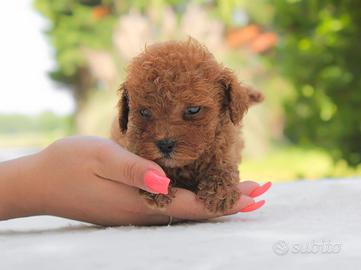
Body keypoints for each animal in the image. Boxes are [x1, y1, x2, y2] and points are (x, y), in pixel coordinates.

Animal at [109, 39, 262, 213]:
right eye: (144, 112)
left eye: (193, 110)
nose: (165, 145)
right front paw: (158, 188)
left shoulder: (226, 144)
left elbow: (223, 165)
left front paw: (219, 192)